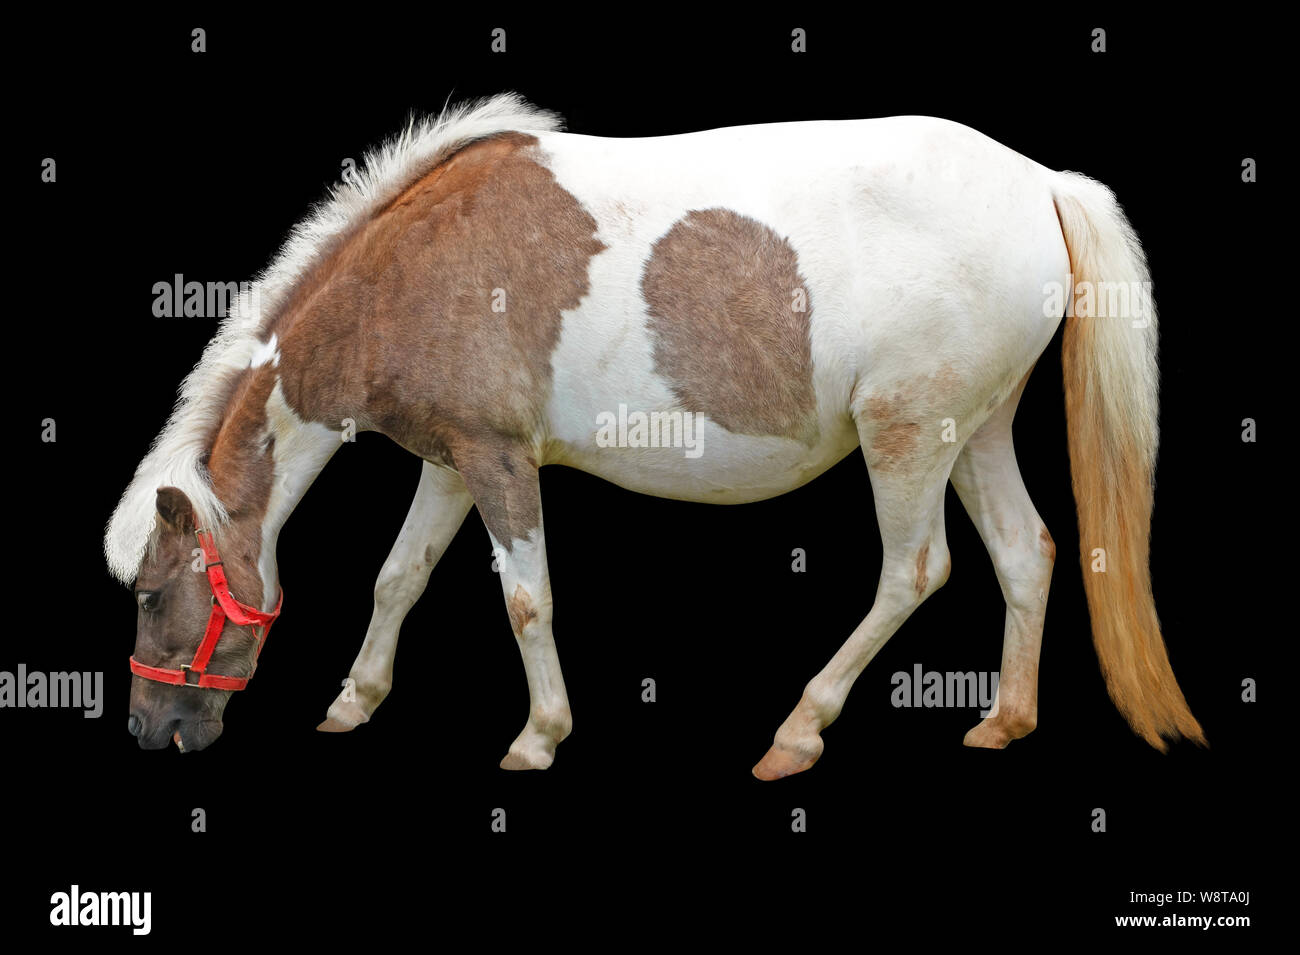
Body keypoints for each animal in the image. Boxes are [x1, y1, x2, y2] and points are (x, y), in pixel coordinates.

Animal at [106, 92, 1205, 776]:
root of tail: (1040, 181)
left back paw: (798, 731)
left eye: (154, 594)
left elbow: (525, 600)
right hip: (971, 431)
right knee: (1026, 553)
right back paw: (1003, 719)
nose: (149, 727)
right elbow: (397, 577)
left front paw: (539, 736)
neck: (420, 267)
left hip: (903, 436)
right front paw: (354, 701)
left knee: (914, 570)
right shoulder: (453, 463)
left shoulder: (500, 461)